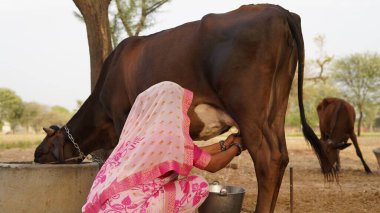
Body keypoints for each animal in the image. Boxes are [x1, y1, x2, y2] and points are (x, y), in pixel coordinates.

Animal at [34, 4, 334, 212]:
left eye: (47, 146)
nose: (35, 154)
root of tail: (278, 10)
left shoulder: (122, 118)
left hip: (249, 110)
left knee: (268, 160)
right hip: (276, 110)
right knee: (281, 156)